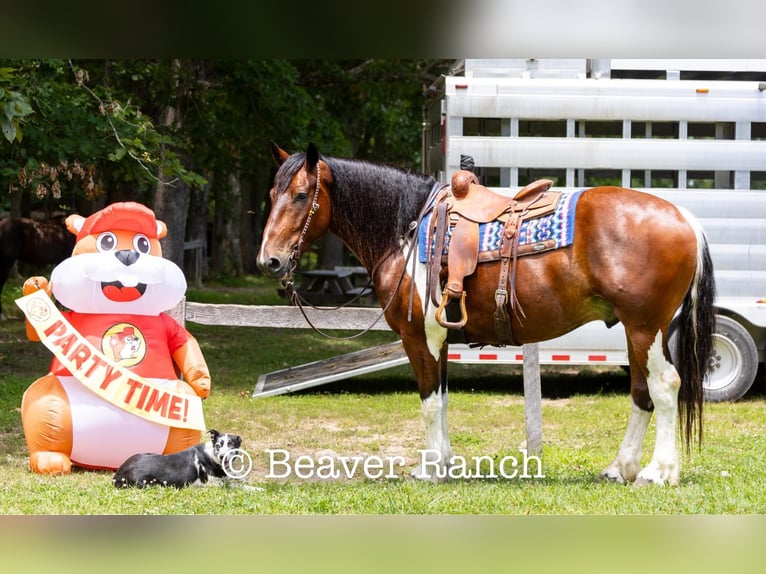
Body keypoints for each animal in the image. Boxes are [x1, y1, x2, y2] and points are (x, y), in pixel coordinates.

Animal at [257, 142, 716, 486]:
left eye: (301, 196)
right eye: (272, 196)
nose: (269, 261)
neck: (406, 230)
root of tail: (685, 218)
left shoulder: (418, 336)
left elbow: (428, 401)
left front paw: (428, 470)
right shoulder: (439, 338)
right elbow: (441, 400)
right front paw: (444, 464)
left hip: (646, 328)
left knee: (664, 386)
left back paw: (659, 472)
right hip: (636, 331)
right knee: (641, 391)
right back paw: (620, 469)